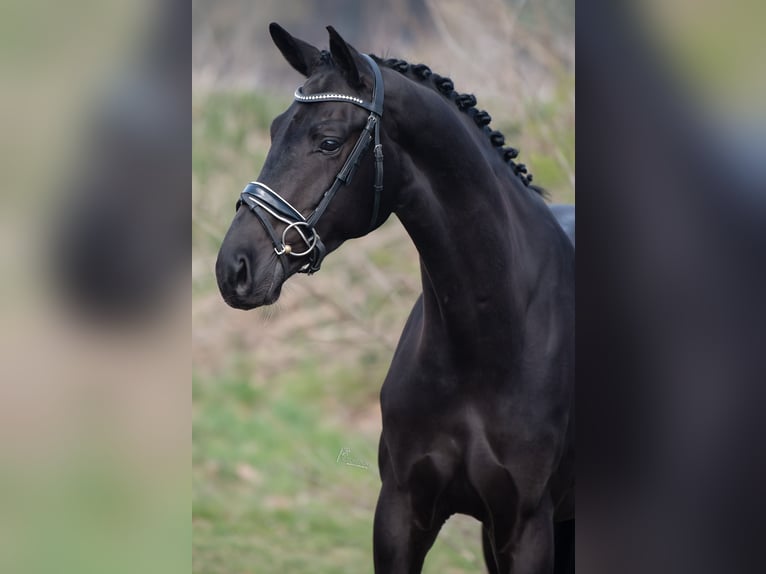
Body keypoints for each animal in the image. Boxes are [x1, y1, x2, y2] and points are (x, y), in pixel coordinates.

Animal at [216, 23, 574, 574]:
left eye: (328, 141)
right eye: (275, 130)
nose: (233, 267)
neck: (488, 340)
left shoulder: (526, 528)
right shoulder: (402, 515)